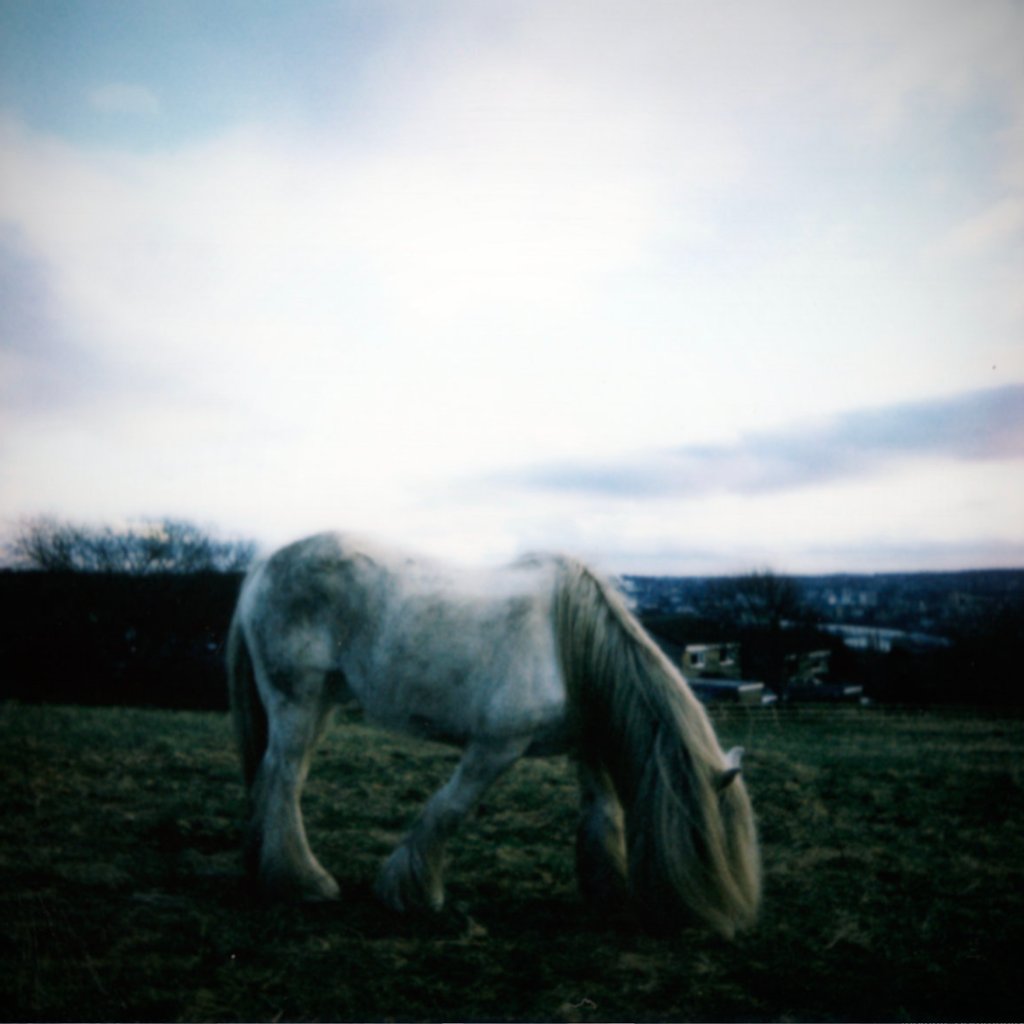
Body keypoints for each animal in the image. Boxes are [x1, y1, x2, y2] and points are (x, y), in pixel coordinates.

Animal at [226, 532, 761, 937]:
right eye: (710, 841)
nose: (723, 925)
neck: (570, 640)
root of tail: (264, 564)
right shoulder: (496, 748)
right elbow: (448, 810)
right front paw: (412, 892)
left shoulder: (585, 747)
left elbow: (602, 815)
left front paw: (606, 891)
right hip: (298, 701)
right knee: (283, 781)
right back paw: (304, 882)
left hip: (319, 705)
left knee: (275, 779)